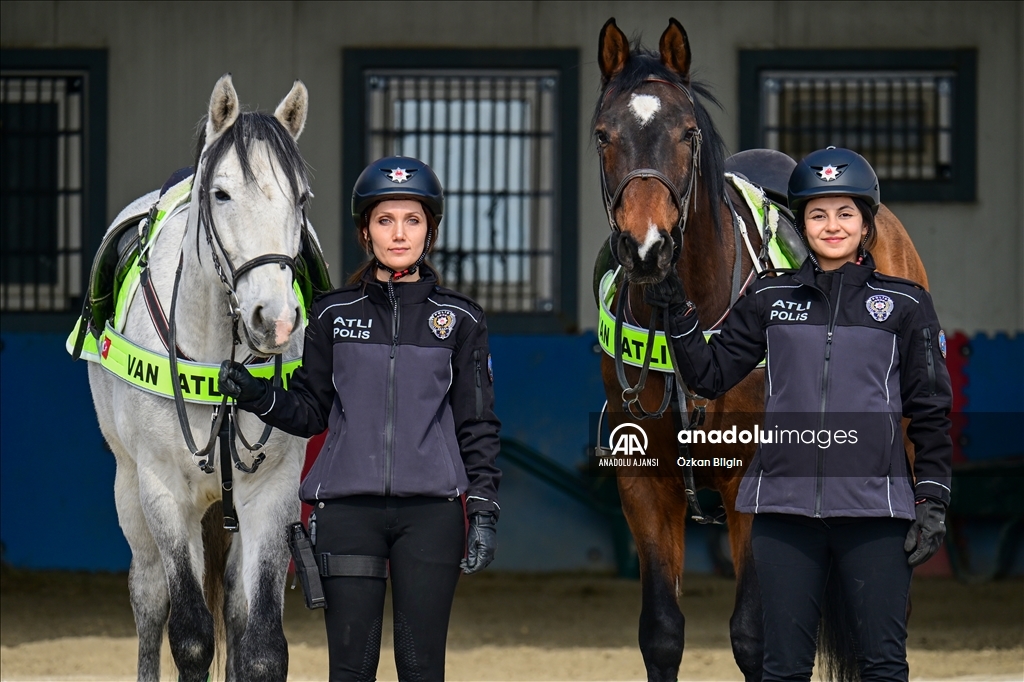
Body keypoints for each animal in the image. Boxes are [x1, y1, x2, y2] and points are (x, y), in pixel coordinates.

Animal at [87, 75, 311, 679]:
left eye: (302, 199)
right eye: (222, 194)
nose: (275, 320)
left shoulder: (273, 494)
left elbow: (262, 646)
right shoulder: (163, 491)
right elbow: (189, 636)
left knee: (233, 605)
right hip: (127, 486)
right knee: (148, 597)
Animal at [598, 17, 933, 679]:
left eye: (687, 133)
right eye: (604, 134)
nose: (647, 249)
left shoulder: (751, 486)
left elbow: (756, 636)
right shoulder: (643, 483)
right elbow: (661, 632)